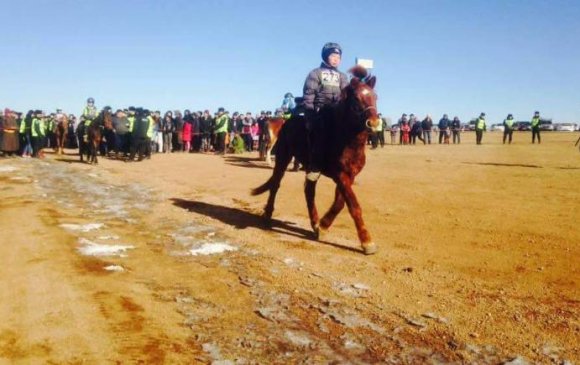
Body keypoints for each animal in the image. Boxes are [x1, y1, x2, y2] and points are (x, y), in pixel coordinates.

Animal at [250, 66, 380, 253]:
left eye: (375, 97)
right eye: (357, 98)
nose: (374, 123)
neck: (346, 139)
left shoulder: (349, 175)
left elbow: (340, 203)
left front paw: (323, 226)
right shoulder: (340, 175)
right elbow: (353, 205)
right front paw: (367, 241)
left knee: (309, 191)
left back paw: (314, 222)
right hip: (283, 157)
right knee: (275, 184)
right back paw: (267, 214)